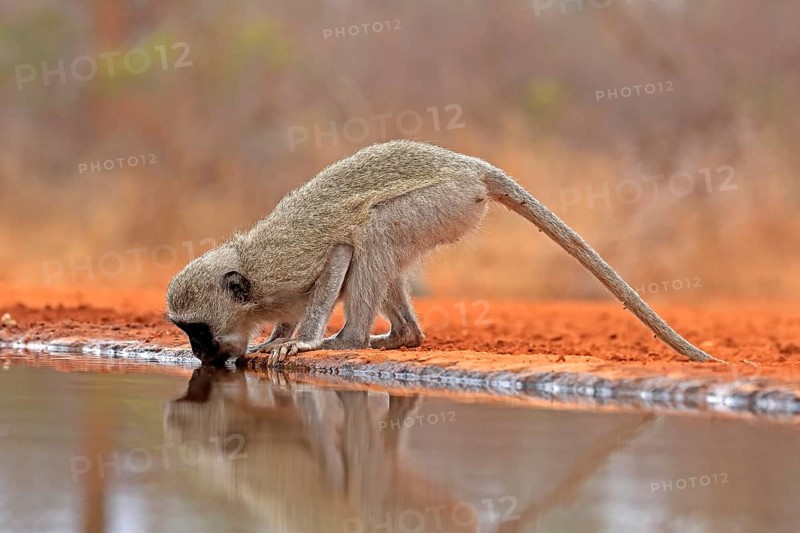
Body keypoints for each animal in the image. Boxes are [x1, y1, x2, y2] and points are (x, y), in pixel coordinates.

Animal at [166, 140, 723, 366]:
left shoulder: (286, 269)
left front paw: (298, 342)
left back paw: (347, 342)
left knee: (375, 231)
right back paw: (401, 337)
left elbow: (341, 253)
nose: (199, 354)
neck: (251, 281)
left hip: (446, 201)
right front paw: (276, 338)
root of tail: (468, 165)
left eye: (198, 330)